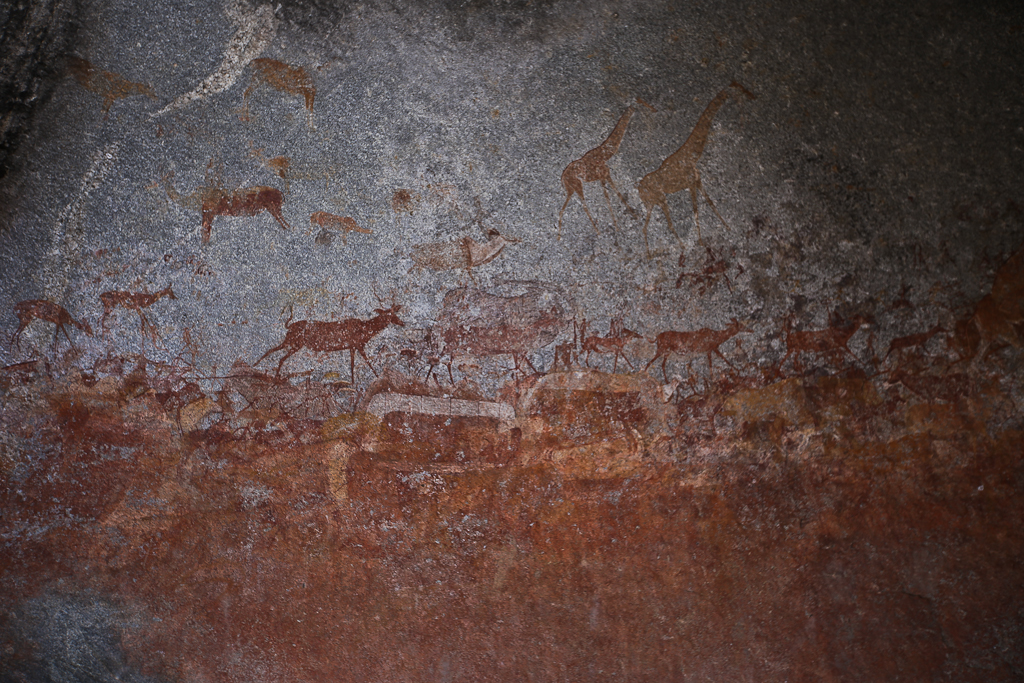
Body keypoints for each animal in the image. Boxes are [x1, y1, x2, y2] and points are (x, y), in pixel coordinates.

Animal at [253, 305, 405, 378]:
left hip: (293, 343)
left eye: (395, 313)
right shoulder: (358, 345)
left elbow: (352, 366)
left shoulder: (352, 347)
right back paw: (270, 373)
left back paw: (258, 366)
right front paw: (377, 376)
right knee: (276, 354)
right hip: (294, 342)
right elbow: (366, 363)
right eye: (389, 315)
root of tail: (289, 326)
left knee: (275, 353)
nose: (402, 323)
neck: (367, 330)